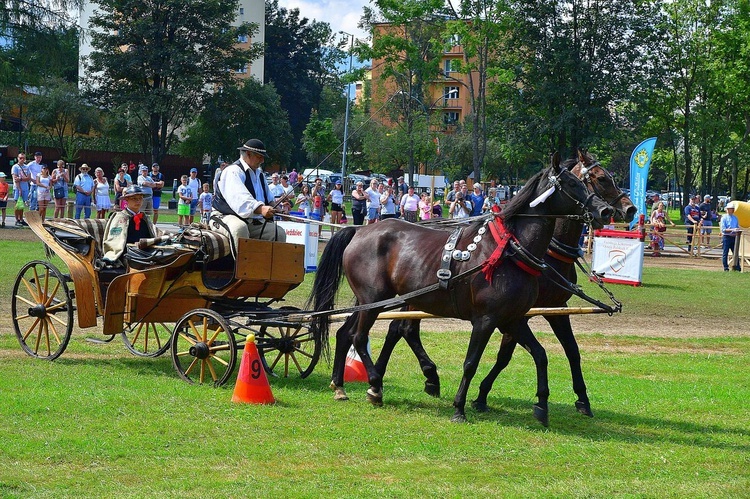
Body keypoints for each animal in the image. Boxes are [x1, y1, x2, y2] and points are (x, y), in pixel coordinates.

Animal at [312, 154, 616, 424]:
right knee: (361, 336)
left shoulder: (515, 318)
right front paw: (461, 406)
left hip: (373, 301)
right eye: (576, 183)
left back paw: (341, 385)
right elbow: (471, 362)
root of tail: (360, 230)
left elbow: (540, 355)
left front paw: (541, 405)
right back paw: (376, 385)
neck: (510, 252)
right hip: (375, 299)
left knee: (348, 332)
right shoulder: (486, 320)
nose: (608, 211)